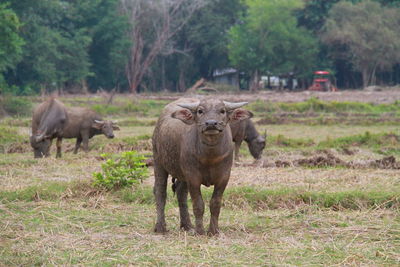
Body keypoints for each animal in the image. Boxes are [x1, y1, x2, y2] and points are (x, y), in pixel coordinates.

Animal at [152, 97, 252, 236]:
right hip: (158, 162)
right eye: (200, 111)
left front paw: (214, 231)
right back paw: (161, 227)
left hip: (182, 174)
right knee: (160, 192)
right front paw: (200, 231)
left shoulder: (224, 177)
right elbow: (198, 204)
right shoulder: (193, 177)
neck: (210, 156)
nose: (211, 123)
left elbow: (215, 204)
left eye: (222, 111)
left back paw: (187, 225)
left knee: (181, 193)